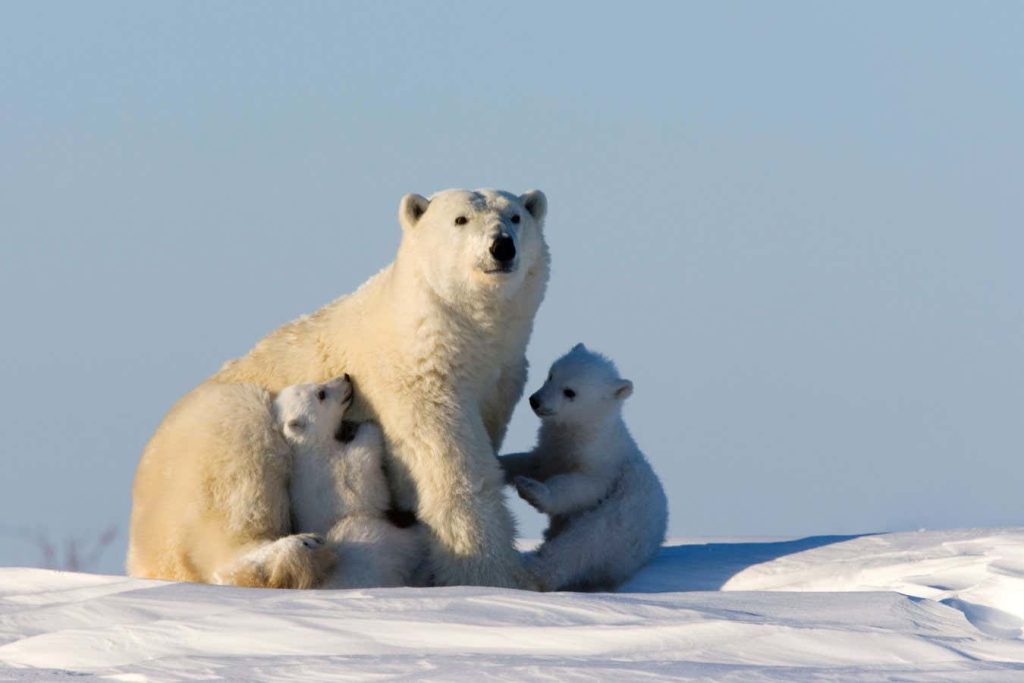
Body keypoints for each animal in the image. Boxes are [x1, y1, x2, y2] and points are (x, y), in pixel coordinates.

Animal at [274, 374, 421, 589]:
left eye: (313, 382)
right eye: (321, 393)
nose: (345, 377)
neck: (313, 446)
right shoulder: (331, 472)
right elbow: (362, 475)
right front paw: (369, 426)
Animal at [497, 344, 671, 589]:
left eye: (570, 392)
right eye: (551, 375)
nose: (535, 400)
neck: (582, 432)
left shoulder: (603, 466)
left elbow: (579, 488)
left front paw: (533, 490)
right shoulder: (550, 452)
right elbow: (532, 463)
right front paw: (499, 463)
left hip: (614, 529)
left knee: (576, 548)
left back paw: (532, 571)